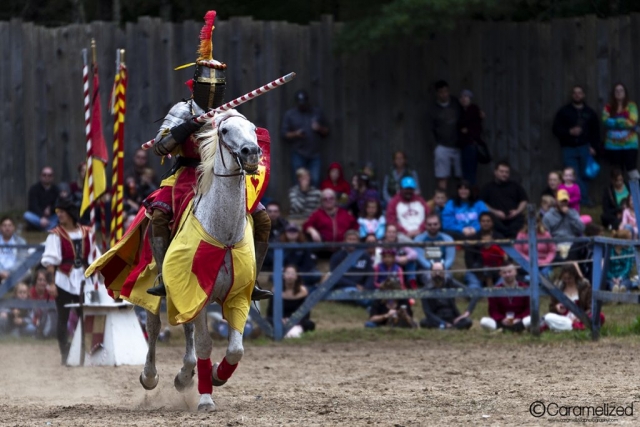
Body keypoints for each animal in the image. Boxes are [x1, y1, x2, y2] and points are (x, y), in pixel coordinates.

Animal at [139, 109, 262, 412]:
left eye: (254, 129)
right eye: (225, 130)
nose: (252, 153)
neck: (223, 234)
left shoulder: (237, 296)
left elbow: (235, 349)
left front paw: (218, 374)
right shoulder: (199, 293)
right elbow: (205, 343)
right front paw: (206, 398)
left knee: (186, 329)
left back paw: (185, 375)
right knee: (154, 326)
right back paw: (150, 376)